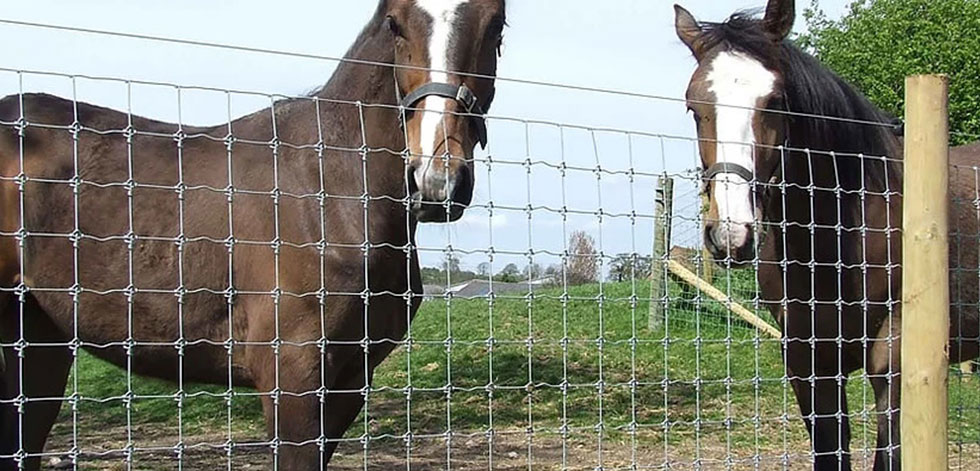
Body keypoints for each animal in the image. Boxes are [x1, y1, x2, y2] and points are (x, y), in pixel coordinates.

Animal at [0, 0, 506, 468]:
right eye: (395, 24)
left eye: (496, 25)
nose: (437, 182)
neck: (330, 188)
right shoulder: (293, 379)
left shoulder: (348, 381)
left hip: (39, 341)